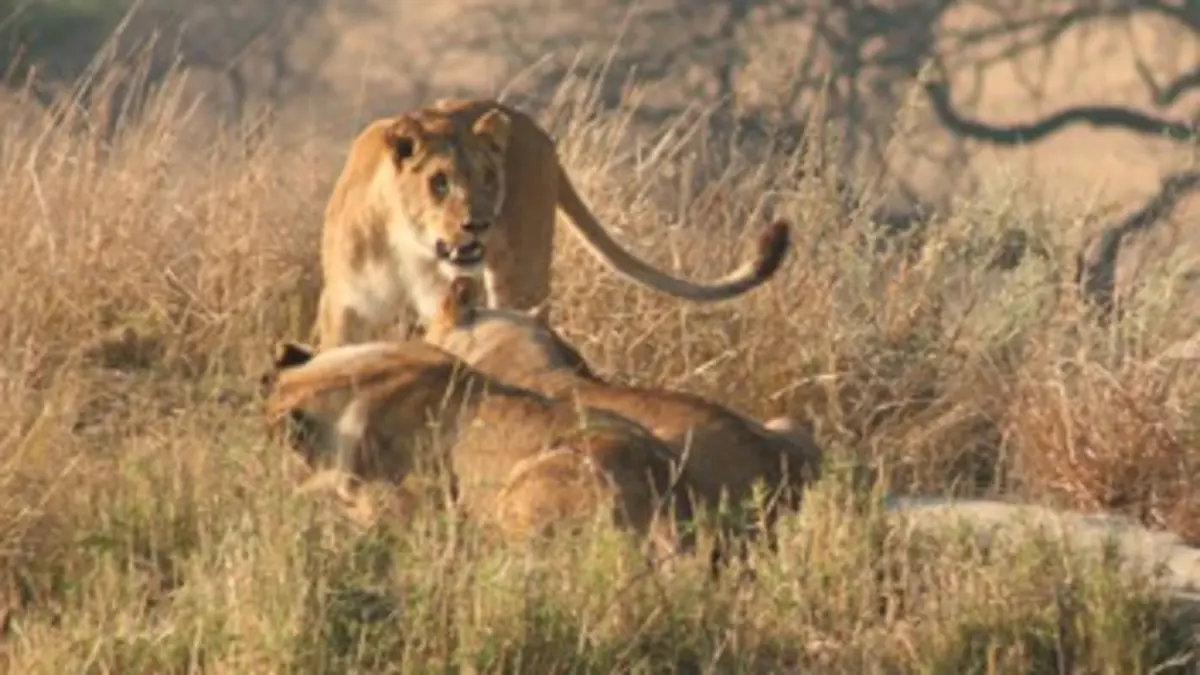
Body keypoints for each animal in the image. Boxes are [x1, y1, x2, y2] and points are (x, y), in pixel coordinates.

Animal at [314, 97, 792, 349]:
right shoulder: (347, 306)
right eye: (439, 182)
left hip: (520, 279)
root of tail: (536, 130)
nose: (479, 223)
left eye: (489, 177)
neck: (410, 247)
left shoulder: (447, 304)